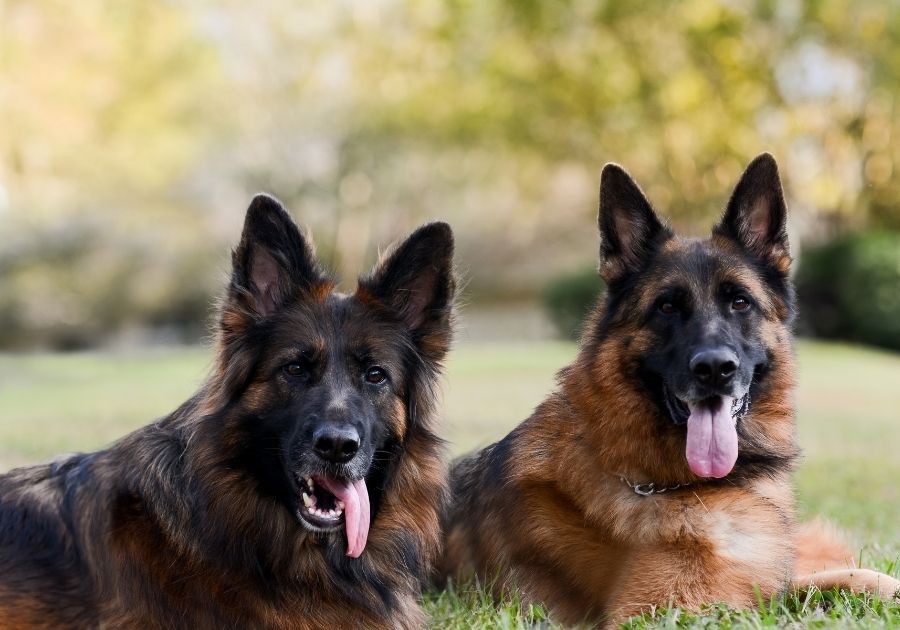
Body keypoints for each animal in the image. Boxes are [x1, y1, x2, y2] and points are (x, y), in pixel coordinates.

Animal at [442, 152, 900, 628]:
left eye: (740, 302)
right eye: (666, 307)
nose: (715, 369)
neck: (674, 483)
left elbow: (847, 578)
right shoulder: (661, 610)